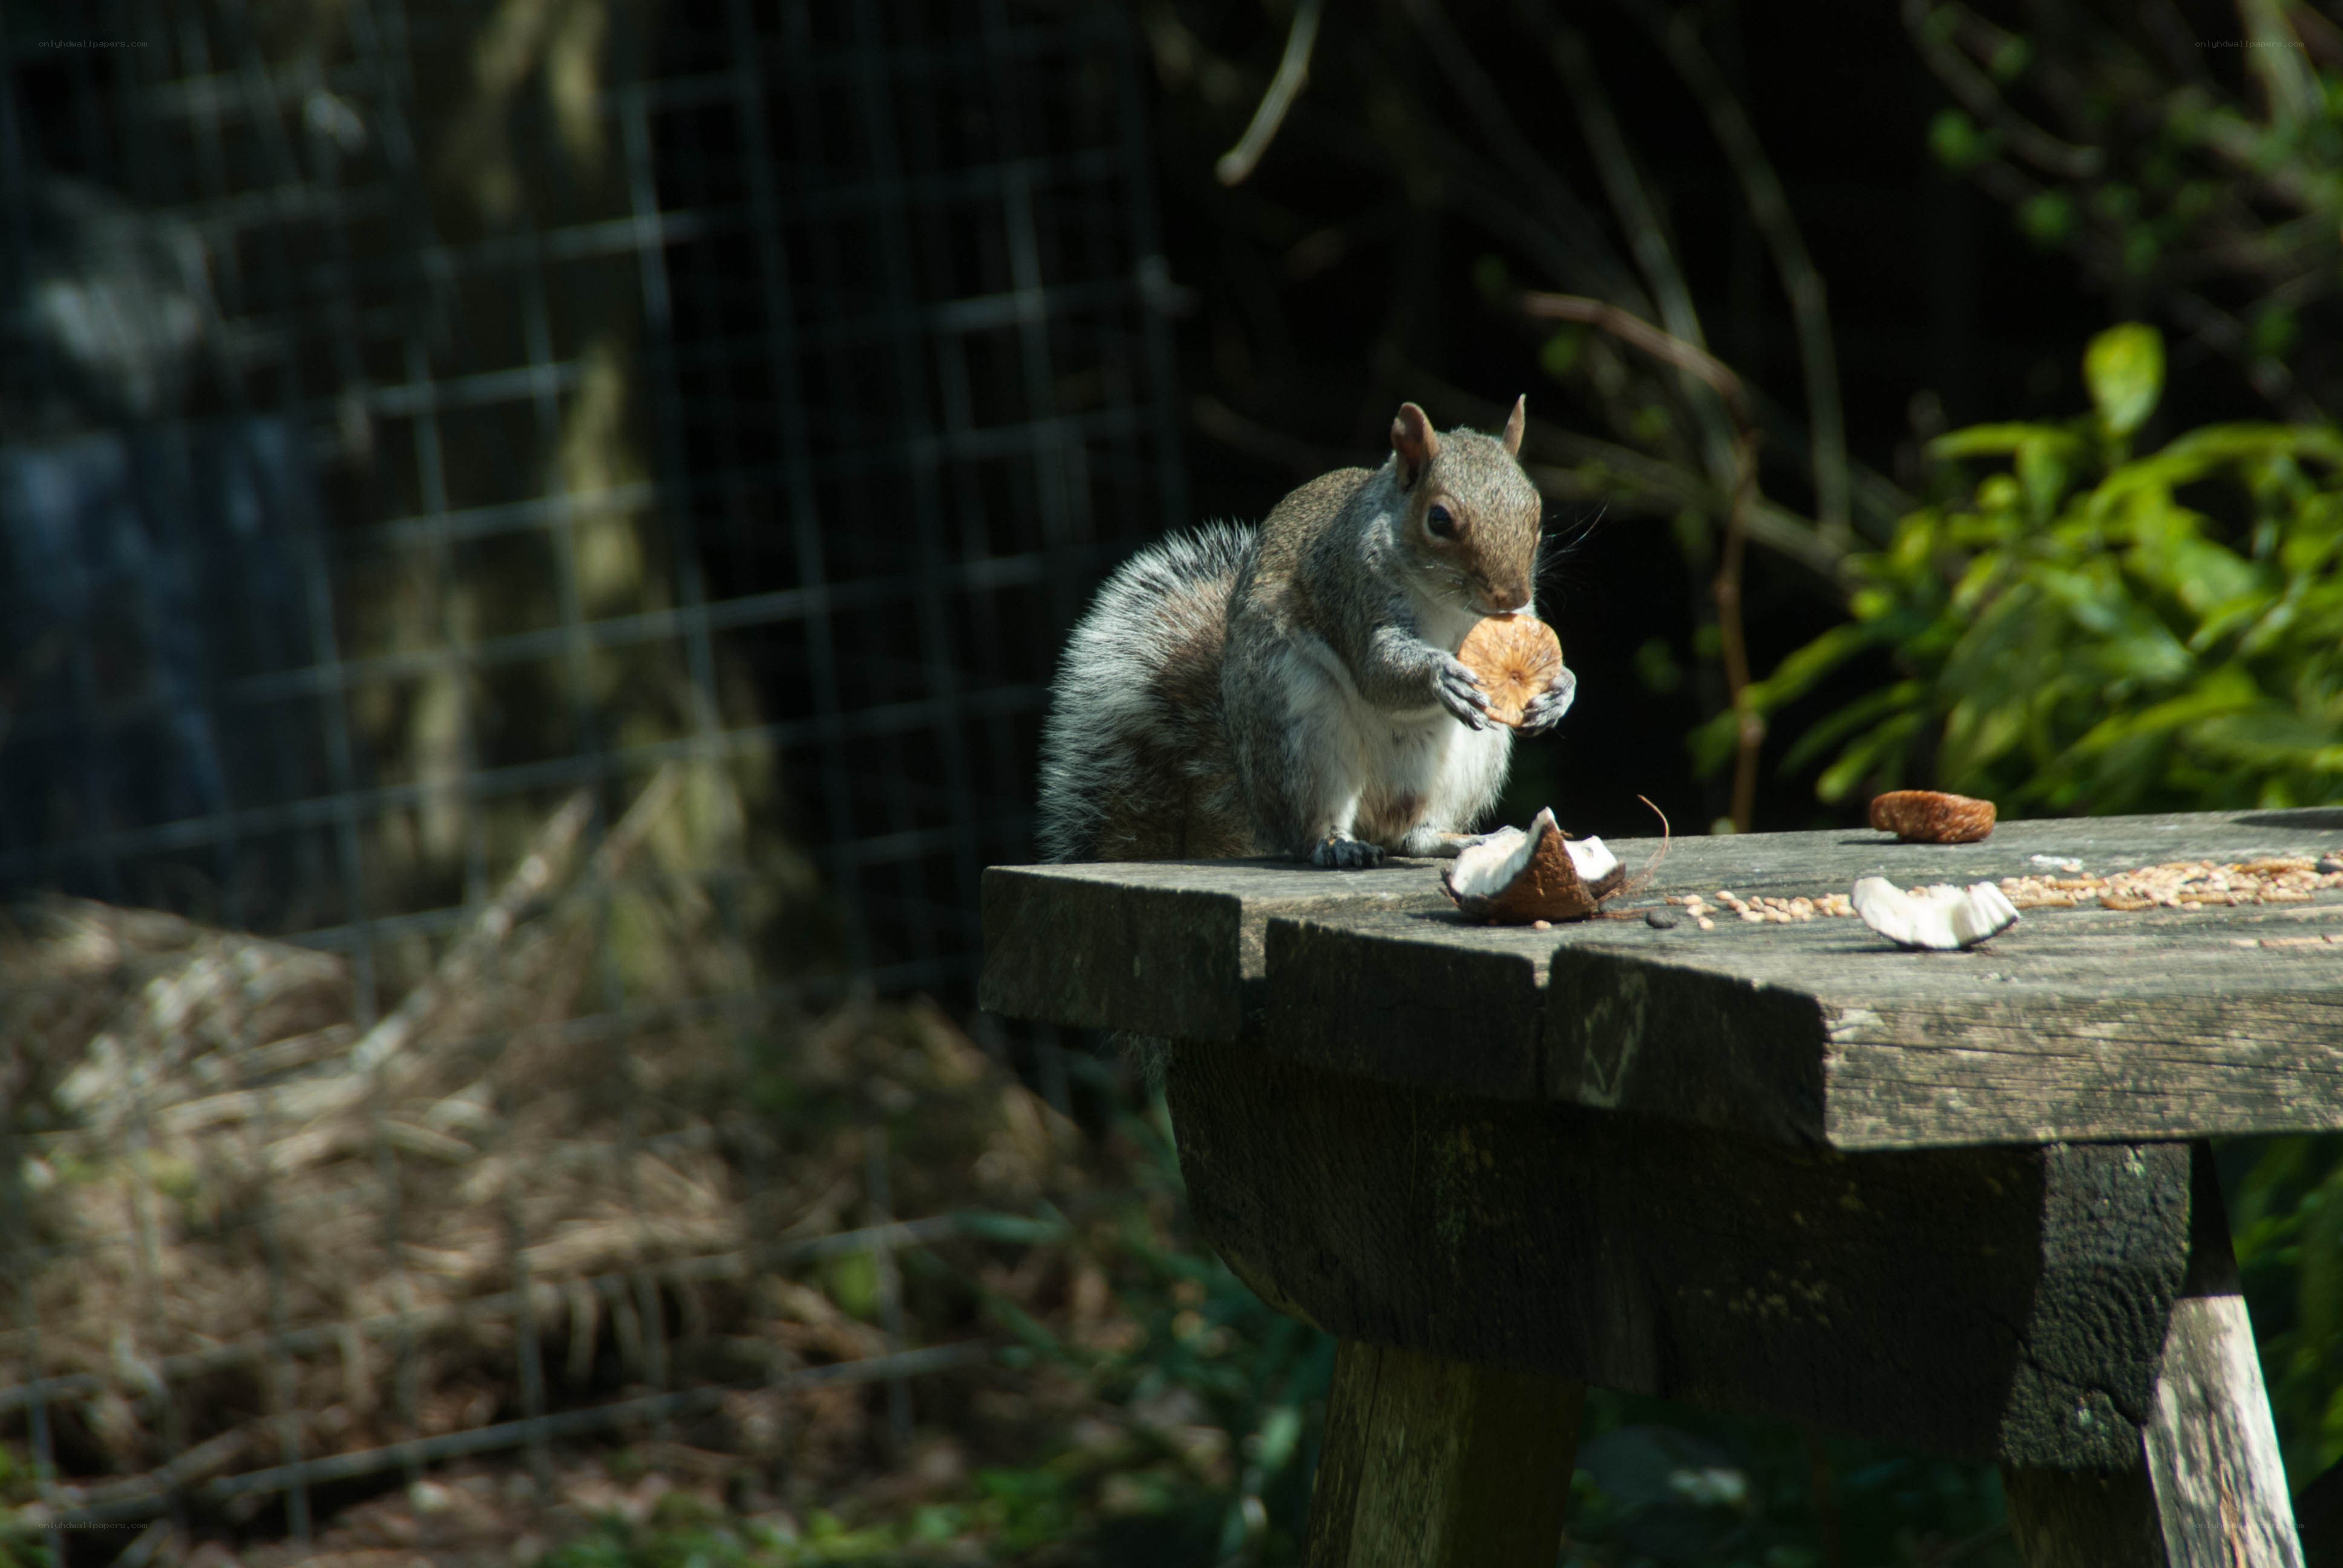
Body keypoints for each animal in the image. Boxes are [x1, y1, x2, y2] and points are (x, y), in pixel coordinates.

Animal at [1037, 397, 1575, 868]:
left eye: (1536, 513)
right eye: (1439, 519)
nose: (1510, 597)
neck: (1446, 603)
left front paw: (1561, 689)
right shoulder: (1349, 590)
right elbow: (1376, 669)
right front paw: (1441, 675)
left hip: (1468, 762)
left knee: (1411, 836)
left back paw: (1464, 840)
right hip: (1300, 731)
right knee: (1309, 827)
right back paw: (1337, 846)